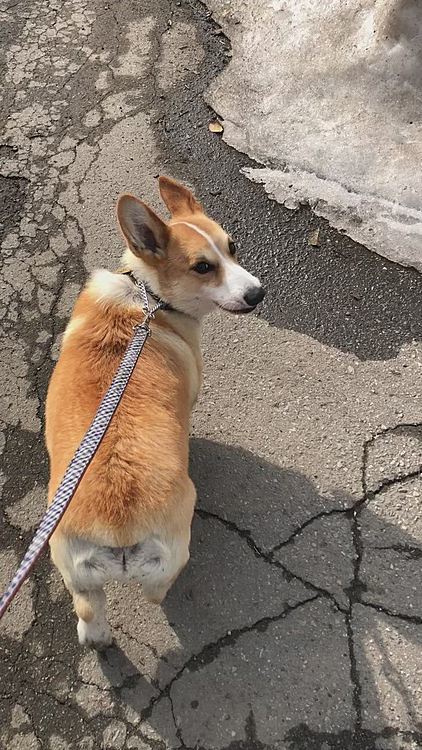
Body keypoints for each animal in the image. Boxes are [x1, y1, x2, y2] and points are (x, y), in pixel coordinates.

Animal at [46, 179, 264, 648]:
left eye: (232, 247)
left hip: (75, 572)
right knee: (155, 593)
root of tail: (118, 526)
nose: (258, 294)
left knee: (89, 611)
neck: (149, 298)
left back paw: (96, 638)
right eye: (203, 267)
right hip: (173, 547)